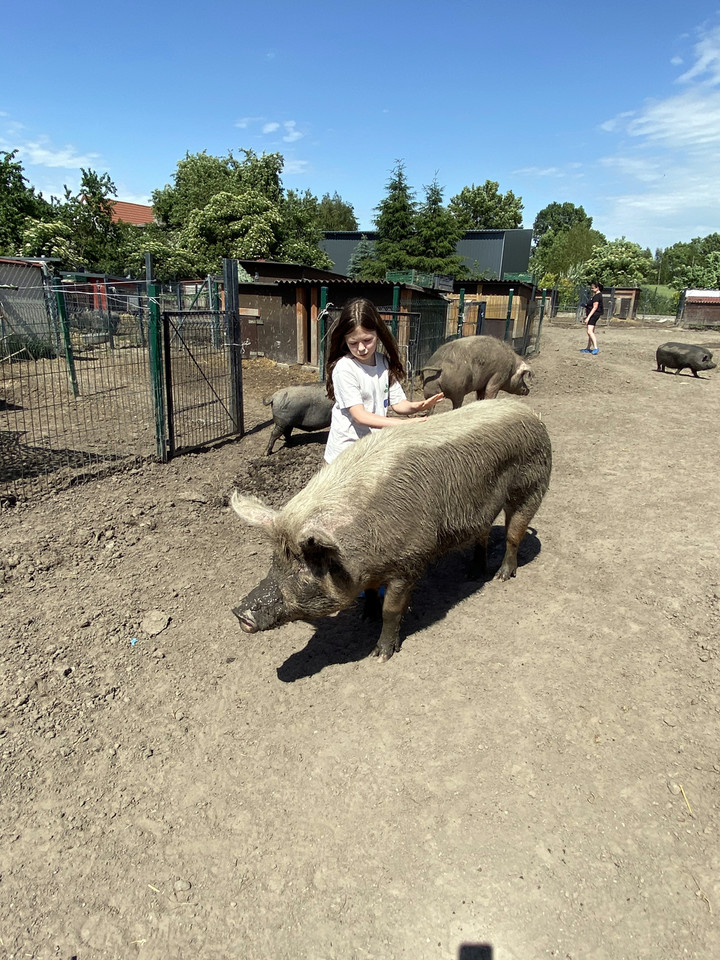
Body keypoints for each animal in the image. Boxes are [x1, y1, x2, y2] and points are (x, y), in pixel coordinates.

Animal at [231, 396, 552, 660]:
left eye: (303, 565)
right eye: (275, 559)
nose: (240, 611)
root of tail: (531, 414)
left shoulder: (409, 561)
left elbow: (392, 610)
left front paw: (381, 654)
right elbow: (373, 592)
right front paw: (366, 617)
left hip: (532, 485)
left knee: (514, 533)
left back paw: (502, 576)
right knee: (483, 533)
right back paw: (474, 574)